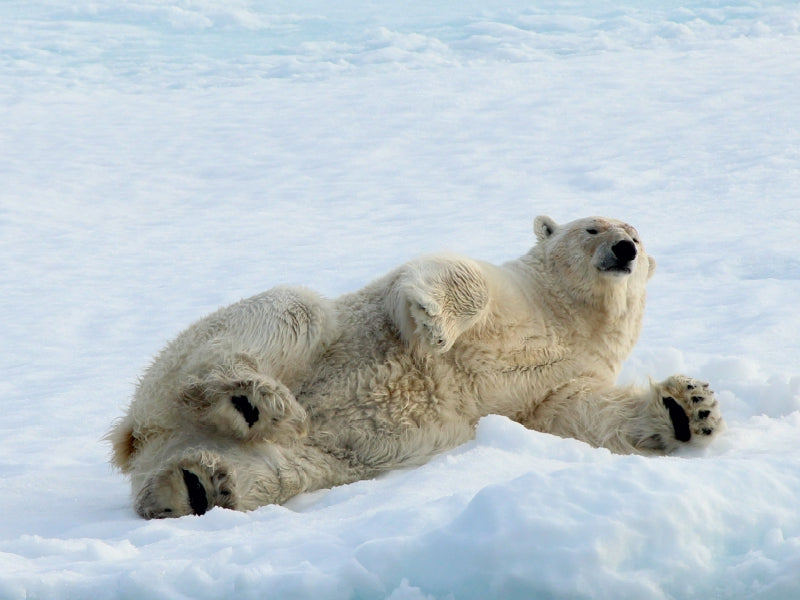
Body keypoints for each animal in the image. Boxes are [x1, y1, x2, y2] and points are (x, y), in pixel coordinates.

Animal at [108, 217, 724, 520]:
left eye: (638, 237)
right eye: (592, 228)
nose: (625, 249)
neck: (569, 317)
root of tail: (139, 436)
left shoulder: (563, 377)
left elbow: (581, 414)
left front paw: (691, 408)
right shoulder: (514, 293)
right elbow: (450, 273)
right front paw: (434, 323)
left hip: (315, 454)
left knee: (281, 468)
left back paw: (195, 487)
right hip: (196, 357)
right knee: (285, 316)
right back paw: (252, 398)